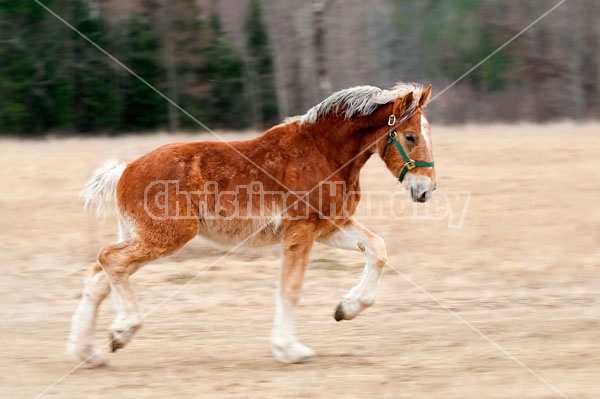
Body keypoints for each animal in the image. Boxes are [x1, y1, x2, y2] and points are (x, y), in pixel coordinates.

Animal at [68, 81, 436, 366]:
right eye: (410, 136)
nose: (426, 190)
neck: (324, 152)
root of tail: (124, 171)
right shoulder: (300, 231)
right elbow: (290, 288)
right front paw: (291, 351)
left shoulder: (330, 227)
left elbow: (377, 249)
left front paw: (346, 309)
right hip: (166, 236)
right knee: (110, 260)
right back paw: (121, 331)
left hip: (140, 235)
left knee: (99, 276)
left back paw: (88, 353)